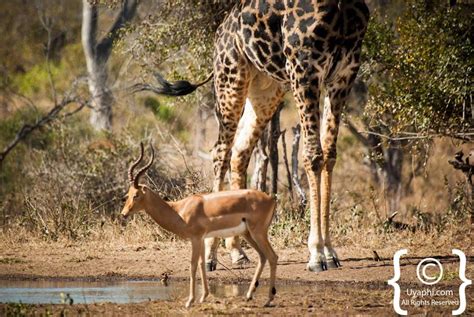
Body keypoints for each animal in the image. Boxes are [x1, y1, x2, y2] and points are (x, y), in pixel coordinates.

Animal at [146, 0, 368, 272]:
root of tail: (220, 31)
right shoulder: (305, 70)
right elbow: (313, 156)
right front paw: (316, 254)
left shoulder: (344, 73)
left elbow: (329, 155)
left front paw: (329, 252)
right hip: (231, 78)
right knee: (220, 152)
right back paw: (210, 255)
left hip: (266, 88)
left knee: (239, 152)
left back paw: (237, 251)